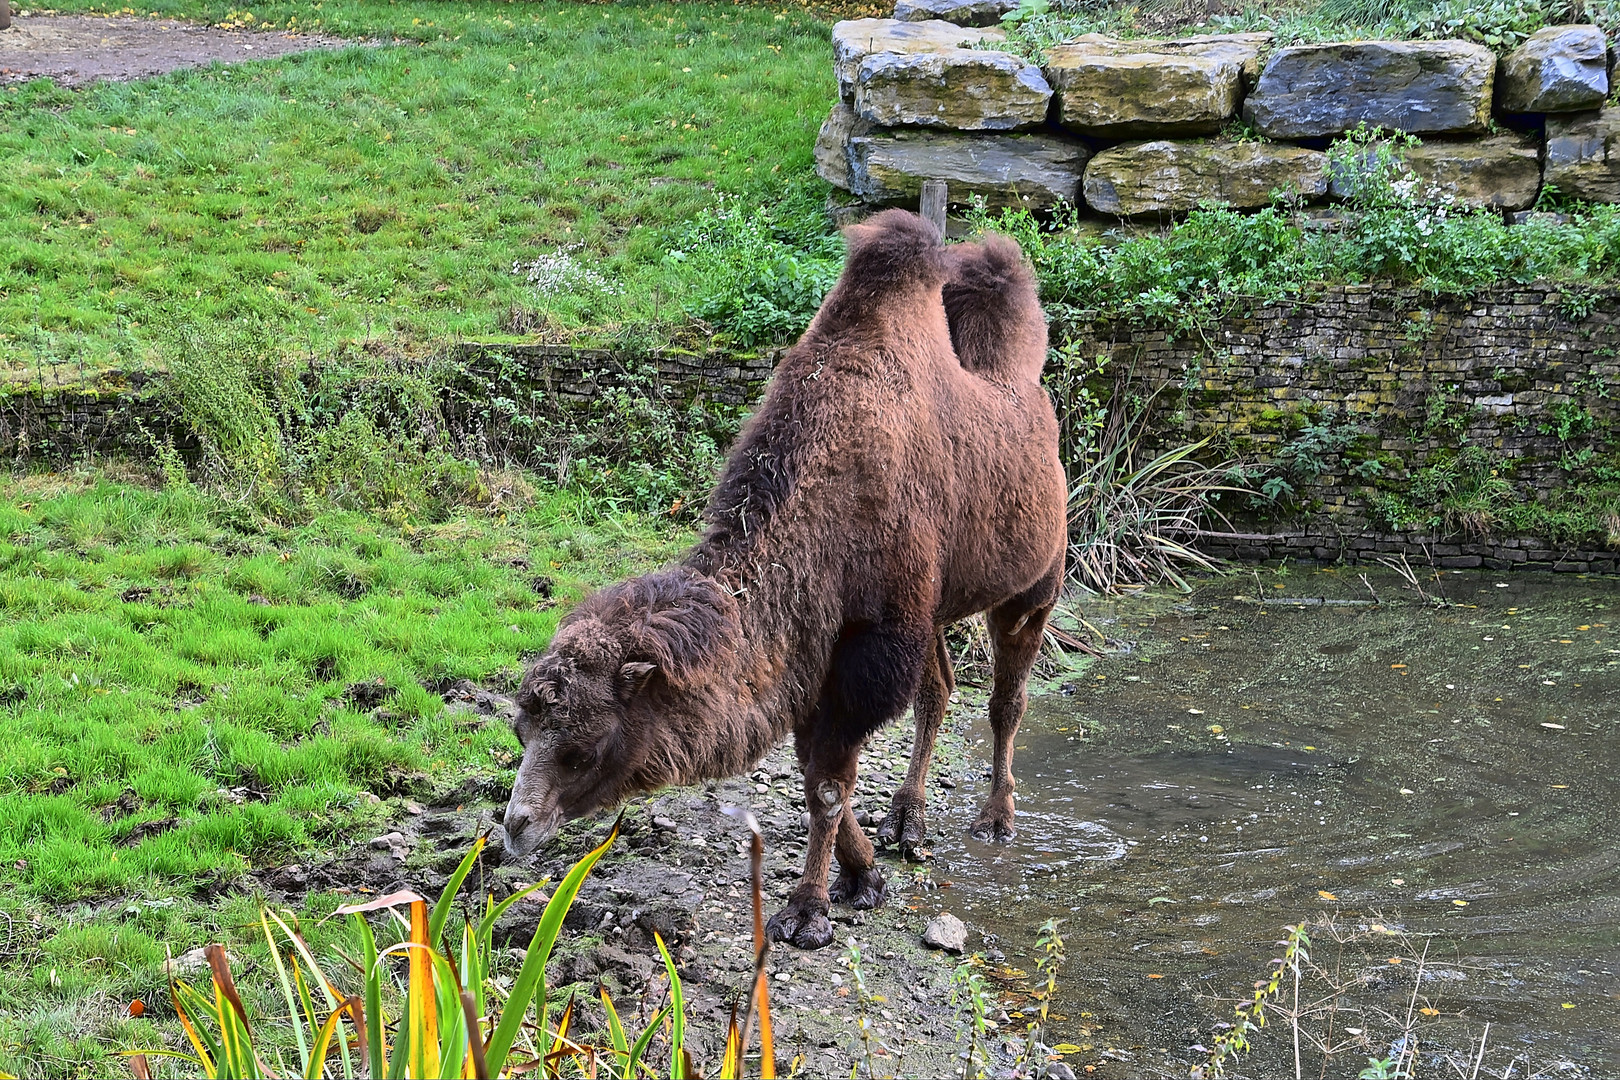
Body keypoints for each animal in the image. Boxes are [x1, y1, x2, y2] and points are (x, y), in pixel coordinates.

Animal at [498, 208, 1069, 945]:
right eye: (521, 730)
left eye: (581, 747)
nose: (515, 827)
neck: (823, 503)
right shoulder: (822, 649)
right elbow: (816, 767)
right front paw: (865, 875)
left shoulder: (868, 646)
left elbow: (826, 781)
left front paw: (809, 908)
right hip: (938, 607)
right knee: (940, 690)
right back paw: (907, 819)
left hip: (1035, 584)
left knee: (1006, 698)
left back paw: (996, 819)